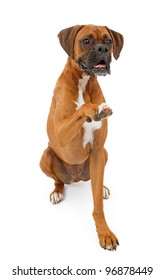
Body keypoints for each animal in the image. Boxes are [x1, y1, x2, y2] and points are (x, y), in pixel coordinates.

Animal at [39, 24, 123, 249]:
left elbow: (97, 205)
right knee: (58, 180)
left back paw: (103, 187)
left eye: (109, 41)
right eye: (86, 41)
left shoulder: (98, 149)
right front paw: (93, 109)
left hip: (103, 154)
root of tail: (75, 177)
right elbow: (83, 108)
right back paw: (57, 192)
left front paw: (104, 232)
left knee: (96, 178)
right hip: (45, 157)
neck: (84, 83)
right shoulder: (61, 133)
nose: (103, 49)